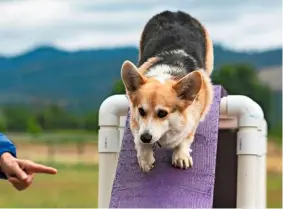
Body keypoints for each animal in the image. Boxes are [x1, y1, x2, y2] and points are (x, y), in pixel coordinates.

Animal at [121, 10, 214, 172]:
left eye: (162, 113)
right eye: (141, 111)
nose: (146, 138)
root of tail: (175, 13)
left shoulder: (192, 121)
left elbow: (185, 139)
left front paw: (181, 156)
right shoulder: (135, 122)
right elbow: (139, 141)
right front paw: (145, 159)